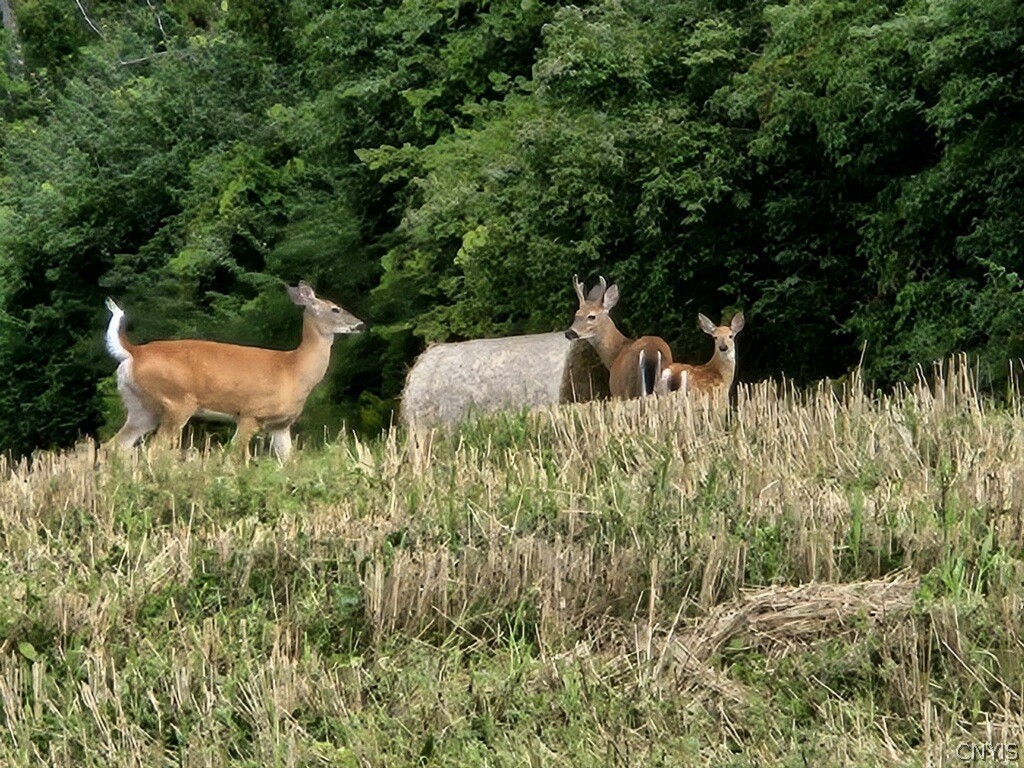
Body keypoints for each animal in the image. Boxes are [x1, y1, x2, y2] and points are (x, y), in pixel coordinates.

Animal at [103, 281, 365, 461]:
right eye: (335, 309)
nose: (361, 324)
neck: (294, 368)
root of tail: (134, 352)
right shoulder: (251, 413)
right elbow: (234, 456)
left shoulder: (281, 425)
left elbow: (289, 462)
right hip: (176, 401)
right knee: (153, 449)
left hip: (143, 408)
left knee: (114, 446)